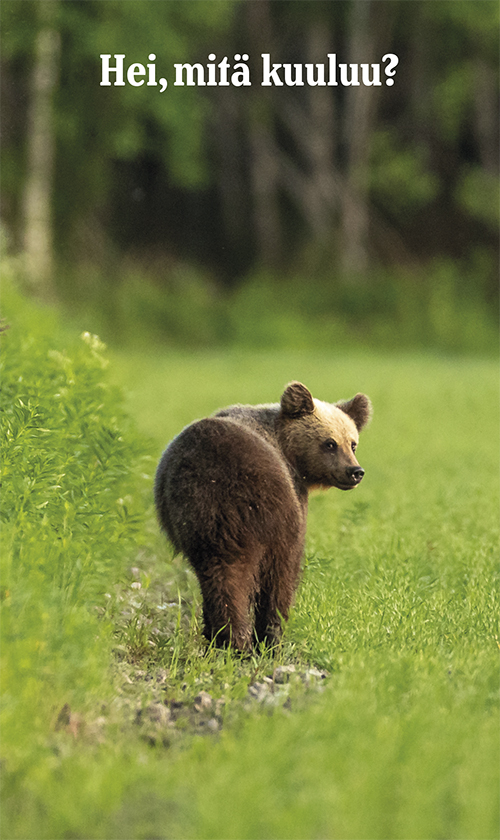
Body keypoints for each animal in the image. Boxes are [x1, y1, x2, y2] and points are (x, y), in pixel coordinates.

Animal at [155, 384, 372, 652]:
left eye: (352, 443)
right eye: (330, 443)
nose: (355, 472)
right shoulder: (294, 497)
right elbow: (285, 568)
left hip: (198, 517)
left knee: (218, 572)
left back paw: (224, 637)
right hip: (265, 510)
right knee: (278, 573)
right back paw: (264, 638)